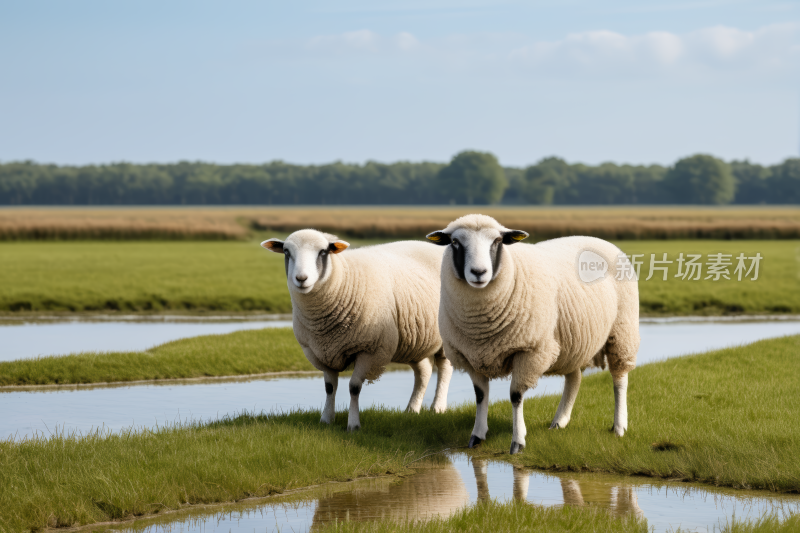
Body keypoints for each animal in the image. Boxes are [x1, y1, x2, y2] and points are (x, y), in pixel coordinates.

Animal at [260, 229, 450, 428]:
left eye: (323, 252)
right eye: (287, 252)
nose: (301, 279)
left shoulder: (369, 349)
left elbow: (354, 387)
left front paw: (353, 424)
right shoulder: (319, 351)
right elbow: (329, 388)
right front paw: (326, 420)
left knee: (444, 367)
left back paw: (437, 407)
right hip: (415, 339)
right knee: (424, 371)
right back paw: (411, 410)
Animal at [428, 213, 640, 454]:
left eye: (497, 241)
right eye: (455, 242)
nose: (479, 273)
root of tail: (600, 240)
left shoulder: (529, 351)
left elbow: (515, 395)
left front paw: (517, 442)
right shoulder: (470, 354)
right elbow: (480, 396)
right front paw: (477, 436)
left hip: (622, 331)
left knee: (619, 379)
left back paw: (619, 427)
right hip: (571, 342)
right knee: (574, 378)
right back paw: (560, 421)